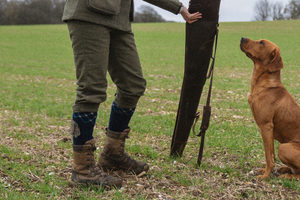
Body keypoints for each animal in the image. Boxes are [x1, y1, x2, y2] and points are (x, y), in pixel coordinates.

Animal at [240, 37, 300, 180]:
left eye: (261, 43)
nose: (242, 38)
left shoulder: (266, 126)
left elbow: (268, 156)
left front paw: (266, 176)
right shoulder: (269, 130)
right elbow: (271, 154)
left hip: (284, 147)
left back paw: (287, 176)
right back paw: (285, 169)